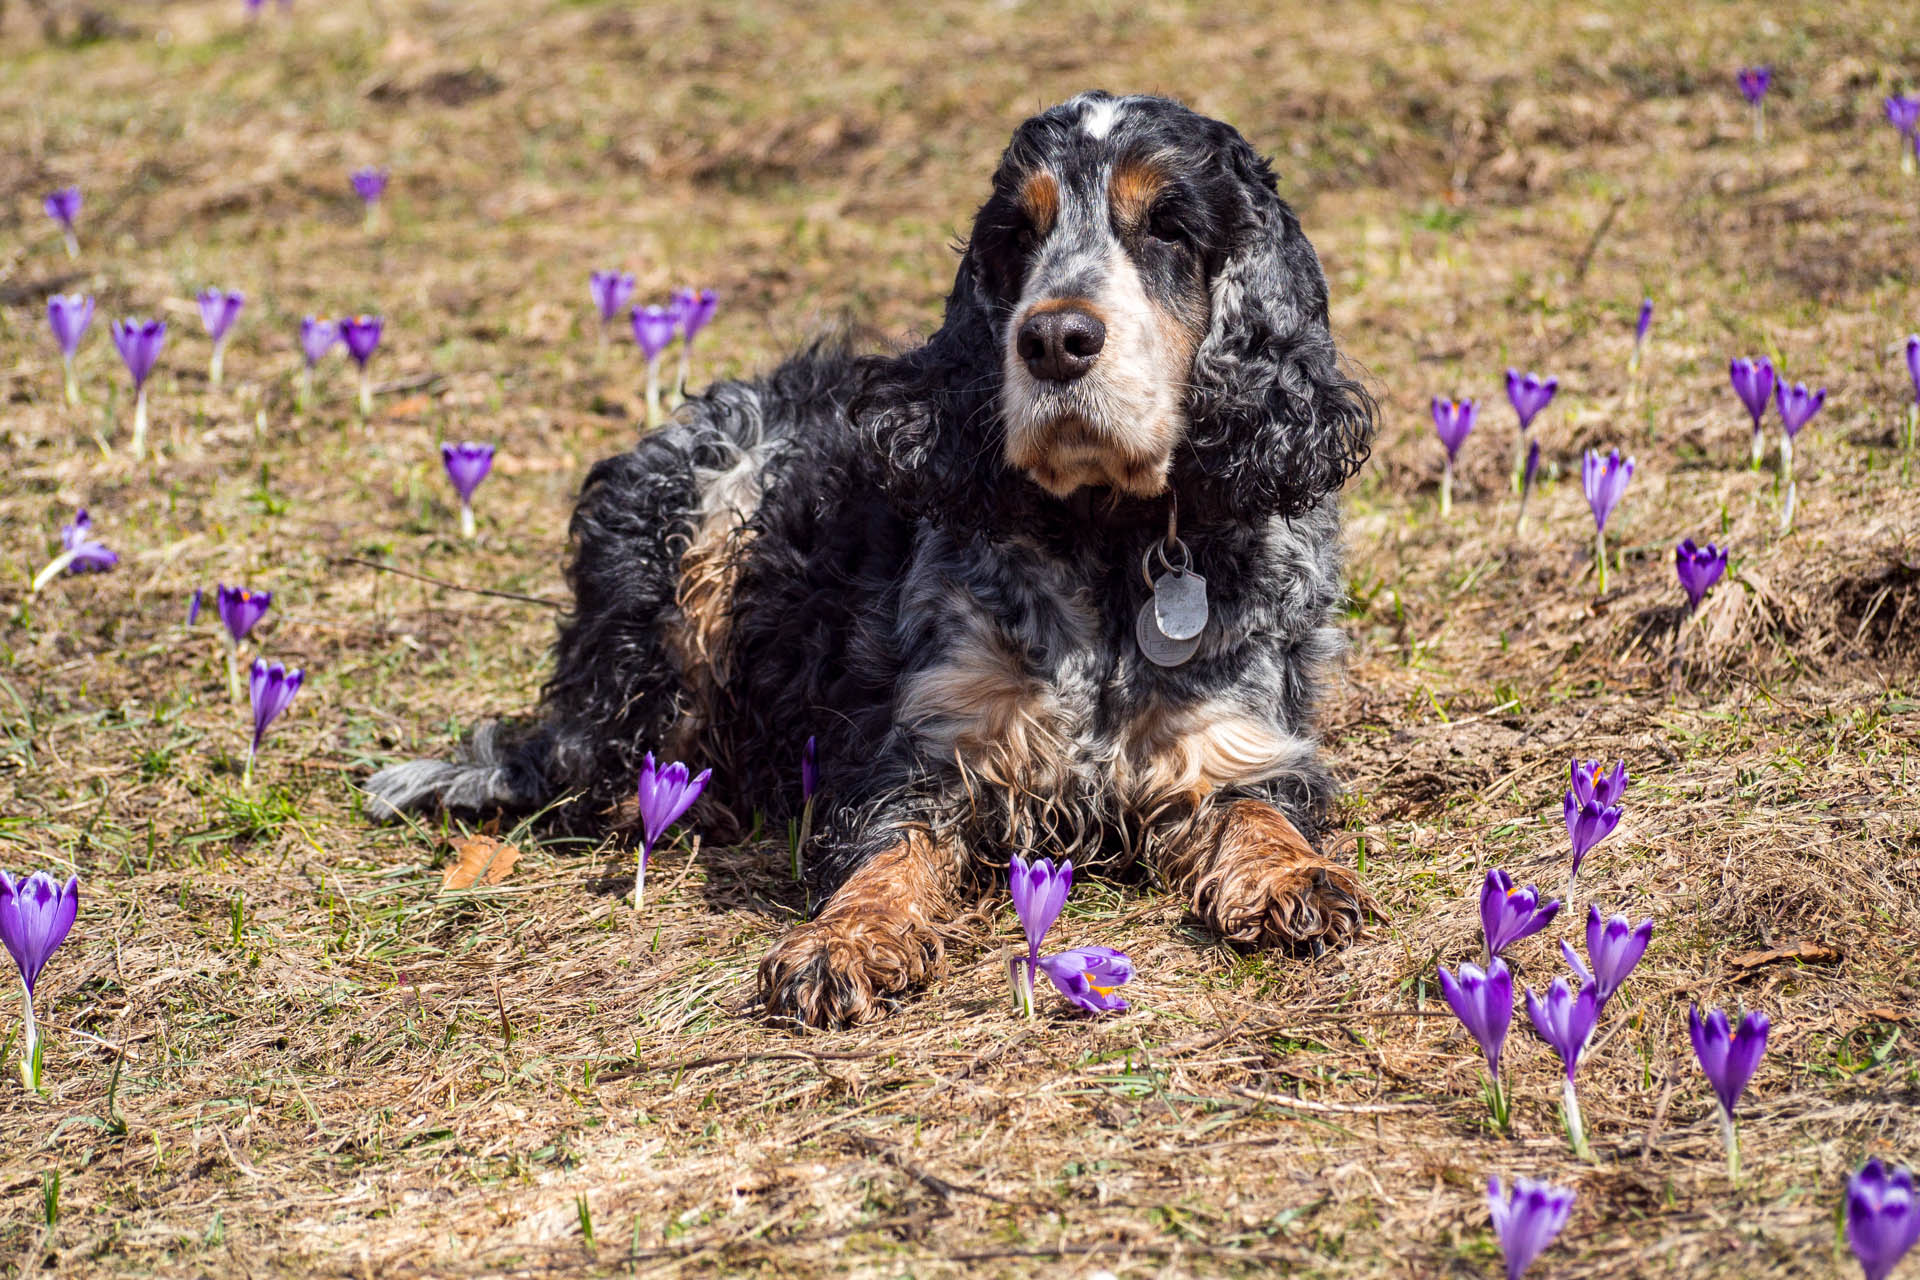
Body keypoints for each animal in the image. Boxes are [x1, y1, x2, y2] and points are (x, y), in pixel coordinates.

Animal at [362, 90, 1382, 1028]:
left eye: (1170, 225)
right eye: (1018, 235)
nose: (1053, 339)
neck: (1107, 537)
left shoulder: (1238, 736)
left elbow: (1258, 811)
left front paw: (1297, 879)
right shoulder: (929, 748)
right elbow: (886, 849)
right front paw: (841, 941)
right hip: (699, 529)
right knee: (610, 763)